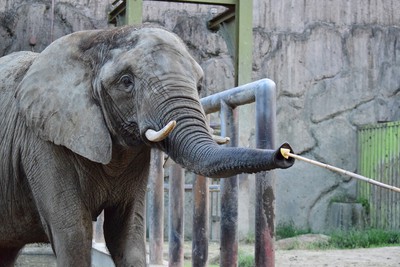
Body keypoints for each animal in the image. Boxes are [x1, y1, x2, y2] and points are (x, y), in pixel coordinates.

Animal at [0, 24, 294, 266]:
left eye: (199, 85)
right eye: (126, 82)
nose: (285, 153)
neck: (99, 36)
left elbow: (127, 231)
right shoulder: (42, 141)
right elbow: (73, 233)